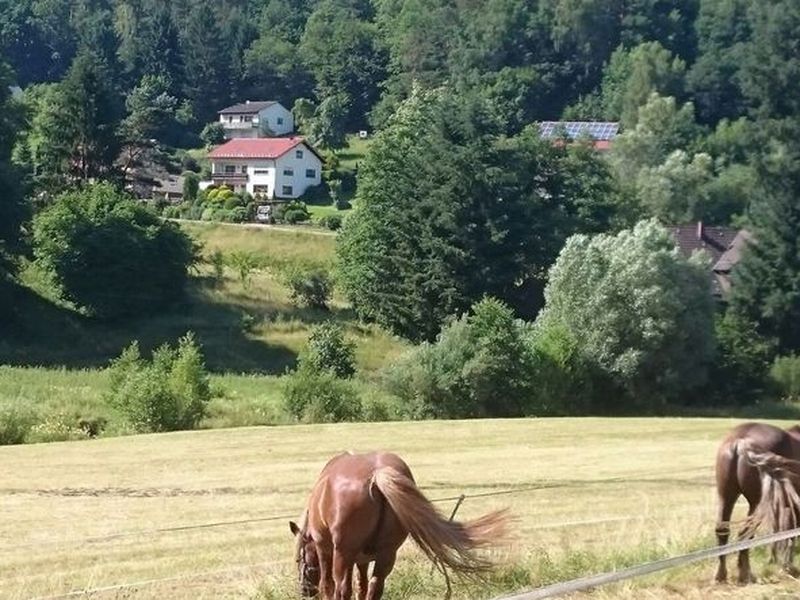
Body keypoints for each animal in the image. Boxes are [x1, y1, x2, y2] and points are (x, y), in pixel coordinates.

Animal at [290, 452, 510, 596]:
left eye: (299, 559)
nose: (304, 591)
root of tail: (376, 476)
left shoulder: (325, 549)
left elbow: (328, 585)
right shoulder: (362, 559)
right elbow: (361, 586)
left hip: (344, 553)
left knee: (342, 587)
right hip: (387, 553)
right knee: (375, 586)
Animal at [716, 420, 800, 584]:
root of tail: (740, 442)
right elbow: (789, 532)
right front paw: (787, 566)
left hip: (726, 496)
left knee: (722, 530)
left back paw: (721, 575)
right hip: (756, 502)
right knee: (745, 533)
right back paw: (746, 574)